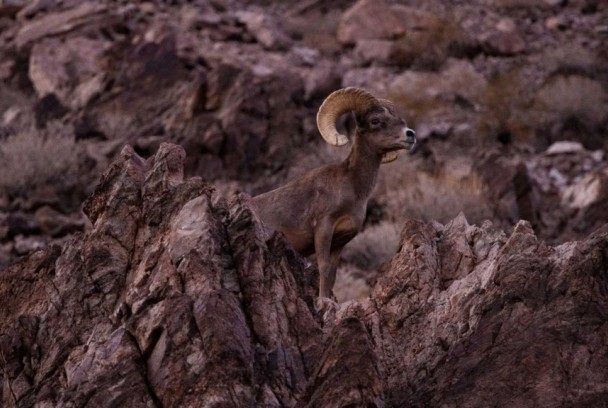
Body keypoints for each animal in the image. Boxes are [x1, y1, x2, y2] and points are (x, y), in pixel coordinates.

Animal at [251, 87, 414, 308]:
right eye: (376, 121)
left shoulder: (341, 241)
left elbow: (333, 274)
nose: (410, 135)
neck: (353, 188)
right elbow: (324, 268)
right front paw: (323, 302)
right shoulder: (323, 230)